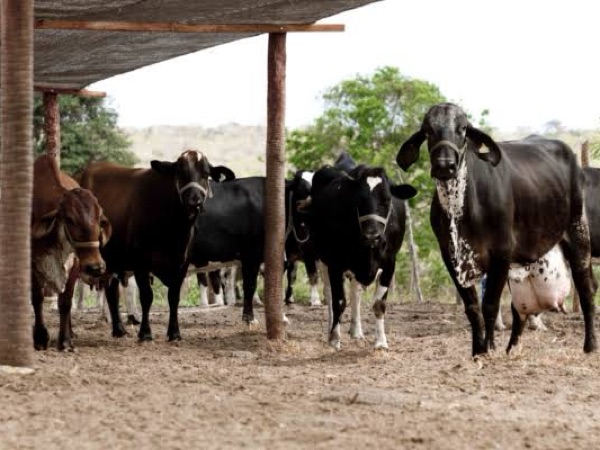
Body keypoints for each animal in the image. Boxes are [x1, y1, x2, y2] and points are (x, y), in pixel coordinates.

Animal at [31, 155, 111, 352]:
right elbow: (37, 299)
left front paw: (65, 340)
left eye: (99, 218)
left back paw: (71, 331)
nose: (96, 267)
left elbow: (65, 302)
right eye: (69, 219)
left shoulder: (75, 265)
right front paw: (40, 337)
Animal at [74, 150, 236, 342]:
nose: (194, 199)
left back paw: (119, 329)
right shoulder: (140, 262)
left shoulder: (182, 263)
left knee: (111, 290)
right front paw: (145, 333)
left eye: (205, 173)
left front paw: (174, 332)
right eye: (180, 172)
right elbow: (146, 296)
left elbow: (173, 297)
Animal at [308, 163, 414, 350]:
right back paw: (331, 329)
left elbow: (378, 304)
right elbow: (339, 301)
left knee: (355, 292)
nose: (372, 235)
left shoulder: (389, 263)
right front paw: (335, 338)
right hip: (322, 257)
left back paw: (356, 330)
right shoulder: (335, 263)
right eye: (359, 200)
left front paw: (381, 342)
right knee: (329, 293)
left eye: (387, 200)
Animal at [396, 102, 596, 356]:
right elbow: (473, 308)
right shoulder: (450, 256)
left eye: (462, 129)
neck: (460, 210)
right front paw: (477, 350)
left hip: (578, 233)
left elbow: (490, 305)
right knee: (519, 312)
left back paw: (590, 345)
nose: (444, 166)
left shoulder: (501, 253)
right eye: (428, 130)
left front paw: (488, 348)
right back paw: (512, 348)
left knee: (587, 291)